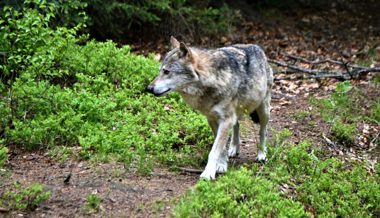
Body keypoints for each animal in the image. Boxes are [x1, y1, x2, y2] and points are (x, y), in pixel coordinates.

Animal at [145, 37, 274, 181]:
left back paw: (261, 154)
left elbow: (214, 151)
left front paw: (208, 173)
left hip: (263, 111)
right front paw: (222, 165)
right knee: (237, 126)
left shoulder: (226, 120)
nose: (148, 88)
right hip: (237, 113)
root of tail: (256, 47)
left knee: (263, 131)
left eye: (167, 71)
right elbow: (221, 148)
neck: (212, 80)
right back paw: (234, 148)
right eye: (160, 71)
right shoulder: (212, 119)